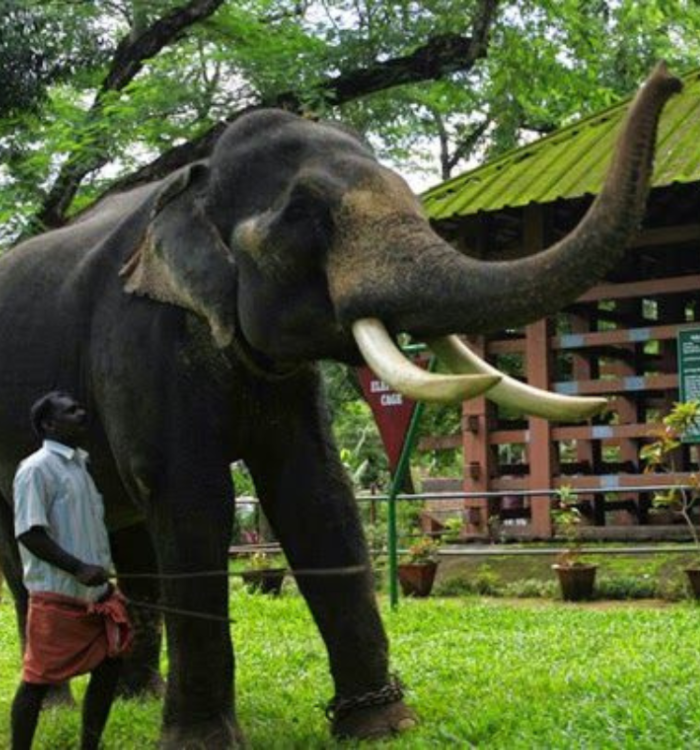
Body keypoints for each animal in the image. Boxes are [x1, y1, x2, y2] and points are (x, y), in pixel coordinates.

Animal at [0, 62, 681, 747]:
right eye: (305, 214)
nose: (669, 78)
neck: (197, 181)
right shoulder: (141, 337)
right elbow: (188, 493)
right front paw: (202, 742)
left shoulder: (285, 383)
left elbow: (315, 490)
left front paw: (381, 724)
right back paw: (57, 703)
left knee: (130, 527)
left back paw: (139, 695)